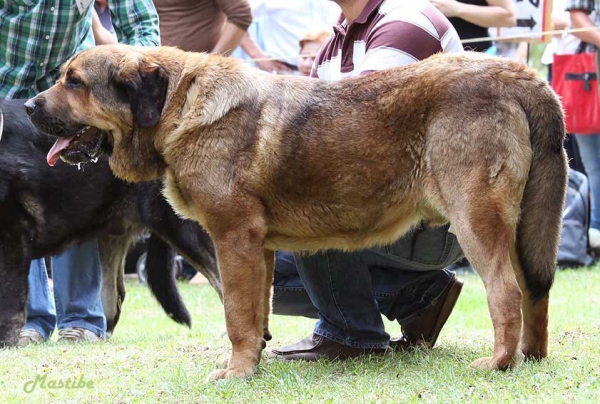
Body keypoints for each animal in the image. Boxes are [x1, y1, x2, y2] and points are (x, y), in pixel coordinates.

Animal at [24, 45, 568, 380]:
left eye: (75, 82)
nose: (28, 106)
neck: (177, 106)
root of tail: (519, 75)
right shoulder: (258, 249)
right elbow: (255, 312)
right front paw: (254, 361)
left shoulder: (233, 239)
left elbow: (235, 313)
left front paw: (237, 372)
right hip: (520, 228)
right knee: (535, 291)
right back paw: (531, 357)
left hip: (477, 220)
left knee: (506, 292)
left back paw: (499, 362)